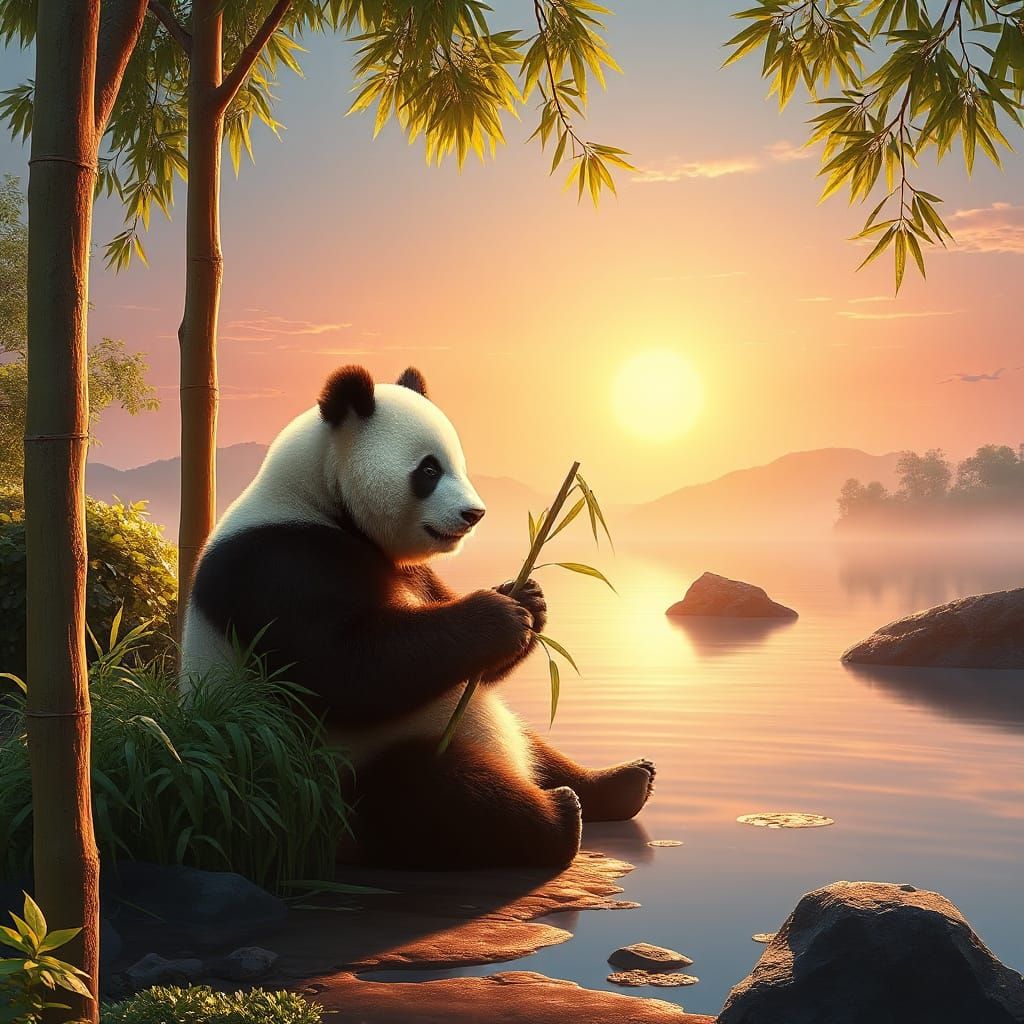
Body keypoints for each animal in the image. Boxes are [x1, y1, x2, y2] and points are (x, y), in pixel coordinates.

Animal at [181, 365, 655, 869]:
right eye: (429, 470)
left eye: (460, 464)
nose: (474, 514)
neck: (318, 498)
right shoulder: (277, 563)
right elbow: (349, 670)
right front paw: (498, 615)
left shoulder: (411, 570)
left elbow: (466, 664)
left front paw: (527, 595)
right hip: (329, 776)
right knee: (434, 794)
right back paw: (560, 816)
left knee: (530, 745)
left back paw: (623, 781)